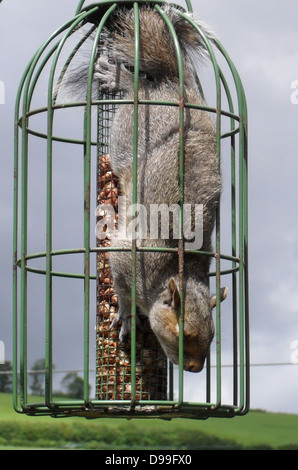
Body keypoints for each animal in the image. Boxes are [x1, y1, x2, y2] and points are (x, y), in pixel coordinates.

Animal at [58, 3, 227, 370]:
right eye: (183, 333)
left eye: (212, 337)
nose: (195, 368)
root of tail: (175, 88)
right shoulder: (128, 259)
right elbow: (122, 290)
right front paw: (125, 314)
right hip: (127, 135)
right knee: (138, 88)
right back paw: (117, 78)